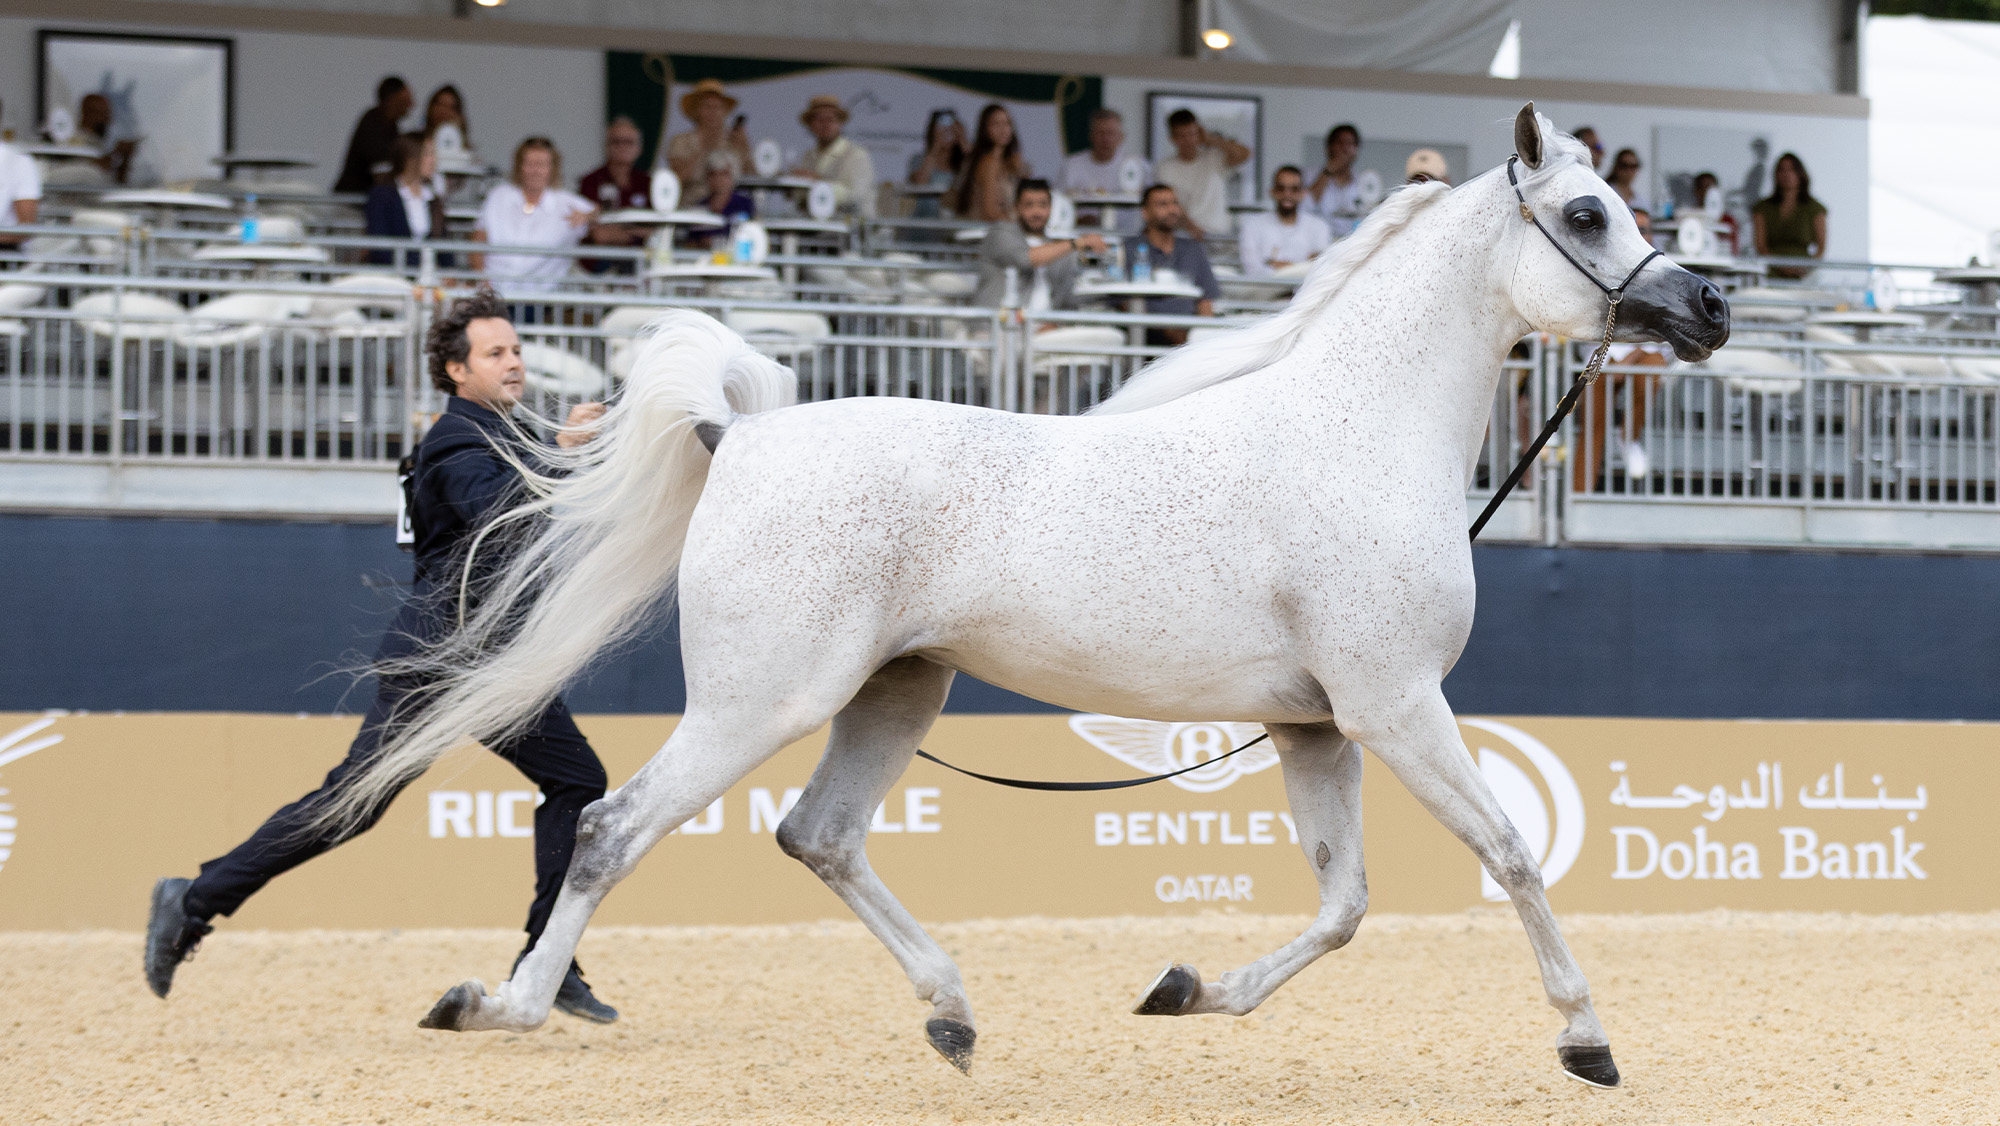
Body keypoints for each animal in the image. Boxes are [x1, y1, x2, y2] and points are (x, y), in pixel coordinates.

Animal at [325, 104, 1727, 1090]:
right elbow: (1508, 855)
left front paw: (1184, 989)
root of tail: (741, 434)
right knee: (615, 829)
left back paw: (951, 1015)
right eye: (1588, 212)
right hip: (760, 700)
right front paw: (1586, 1042)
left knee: (819, 836)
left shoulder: (1315, 725)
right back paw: (496, 1005)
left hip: (895, 690)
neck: (1355, 433)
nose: (1709, 305)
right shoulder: (1393, 705)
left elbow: (1340, 906)